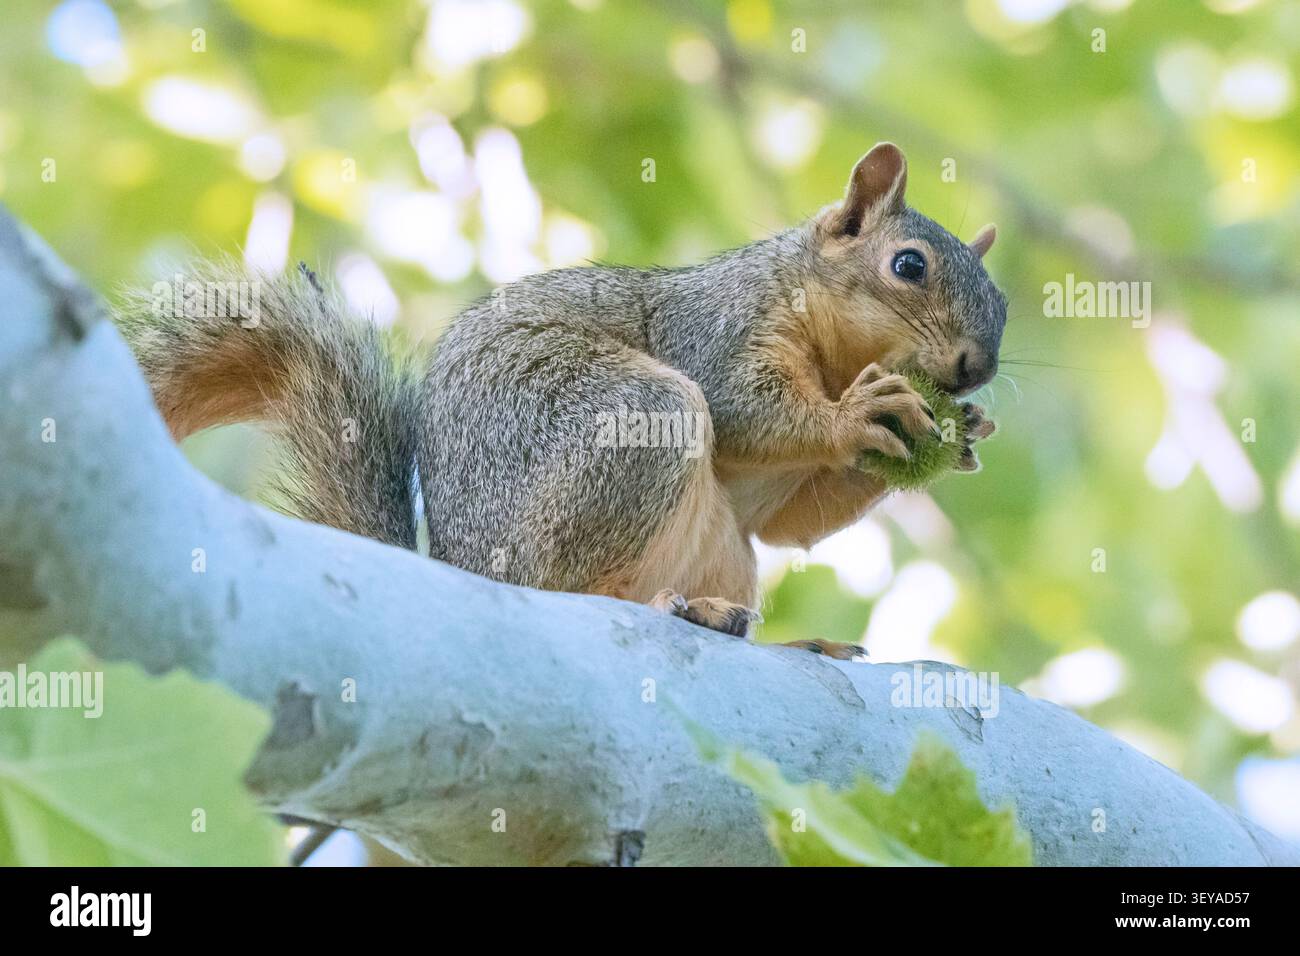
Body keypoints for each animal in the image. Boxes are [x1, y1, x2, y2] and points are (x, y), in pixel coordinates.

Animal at [116, 142, 1005, 660]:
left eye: (1002, 302)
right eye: (908, 265)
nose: (974, 369)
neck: (832, 352)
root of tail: (464, 568)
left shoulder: (772, 495)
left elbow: (790, 521)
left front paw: (958, 436)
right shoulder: (716, 329)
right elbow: (743, 409)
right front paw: (859, 416)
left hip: (718, 542)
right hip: (630, 423)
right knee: (568, 578)